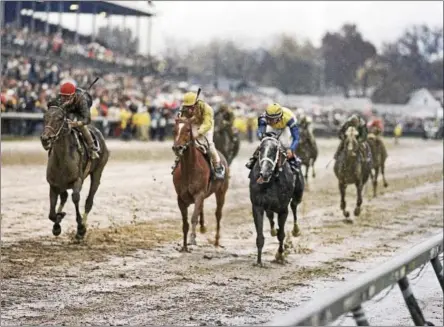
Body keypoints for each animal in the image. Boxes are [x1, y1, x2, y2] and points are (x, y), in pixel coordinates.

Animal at [40, 106, 109, 240]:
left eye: (59, 118)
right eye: (45, 117)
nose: (45, 139)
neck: (62, 159)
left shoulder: (77, 180)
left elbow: (76, 198)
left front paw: (81, 228)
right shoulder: (54, 185)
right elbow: (51, 213)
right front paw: (58, 222)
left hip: (98, 171)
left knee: (89, 201)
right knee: (64, 197)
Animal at [173, 118, 231, 254]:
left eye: (187, 130)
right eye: (175, 130)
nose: (177, 147)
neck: (189, 170)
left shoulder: (199, 194)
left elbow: (193, 217)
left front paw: (192, 239)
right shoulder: (181, 198)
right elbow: (185, 223)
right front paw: (184, 246)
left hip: (221, 192)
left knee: (218, 214)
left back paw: (216, 241)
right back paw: (203, 227)